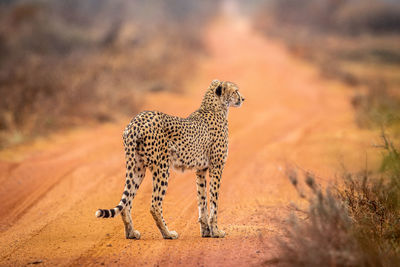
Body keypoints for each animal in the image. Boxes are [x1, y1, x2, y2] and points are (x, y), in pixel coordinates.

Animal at [95, 80, 245, 241]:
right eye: (235, 91)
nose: (243, 99)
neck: (215, 107)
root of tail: (136, 120)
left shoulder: (201, 169)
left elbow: (202, 200)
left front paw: (206, 231)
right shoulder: (216, 166)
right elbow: (214, 201)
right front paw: (216, 231)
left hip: (137, 167)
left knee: (127, 203)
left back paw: (131, 233)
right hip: (162, 167)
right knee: (154, 205)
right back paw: (167, 233)